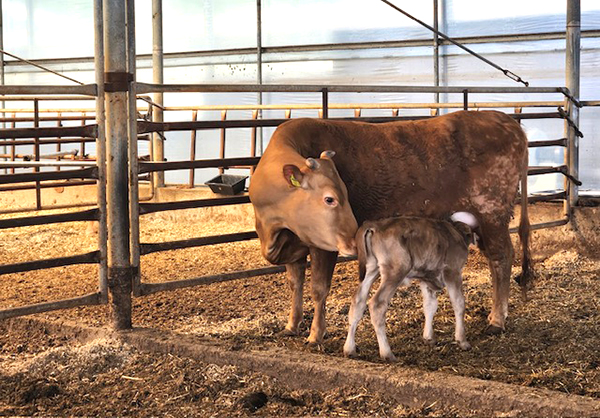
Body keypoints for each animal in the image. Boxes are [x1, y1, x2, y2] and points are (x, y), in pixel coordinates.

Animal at [248, 109, 536, 344]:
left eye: (341, 194)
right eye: (330, 198)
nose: (354, 238)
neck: (274, 228)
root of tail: (507, 122)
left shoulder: (322, 244)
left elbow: (318, 288)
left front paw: (315, 335)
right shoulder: (293, 245)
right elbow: (294, 283)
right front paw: (291, 325)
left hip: (492, 213)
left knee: (501, 257)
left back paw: (497, 319)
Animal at [344, 211, 480, 360]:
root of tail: (374, 224)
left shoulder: (426, 277)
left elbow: (430, 306)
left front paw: (428, 337)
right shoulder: (452, 271)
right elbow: (459, 303)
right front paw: (462, 340)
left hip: (372, 269)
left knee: (358, 301)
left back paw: (349, 349)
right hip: (396, 270)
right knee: (377, 304)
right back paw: (387, 353)